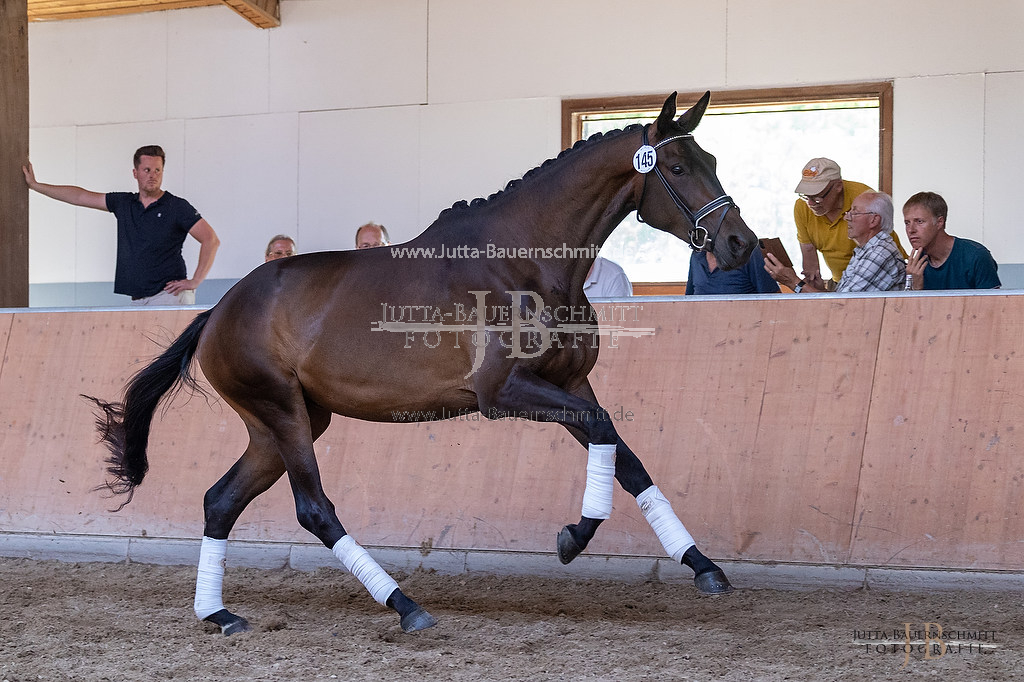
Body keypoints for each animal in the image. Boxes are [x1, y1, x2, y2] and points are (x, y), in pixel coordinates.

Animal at [88, 90, 757, 630]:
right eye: (676, 167)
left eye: (712, 161)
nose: (740, 244)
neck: (525, 261)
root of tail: (220, 310)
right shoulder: (503, 393)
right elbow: (604, 437)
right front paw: (573, 537)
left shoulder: (570, 384)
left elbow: (626, 457)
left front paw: (702, 565)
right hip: (281, 413)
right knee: (313, 509)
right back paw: (404, 606)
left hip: (284, 423)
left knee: (220, 501)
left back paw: (218, 614)